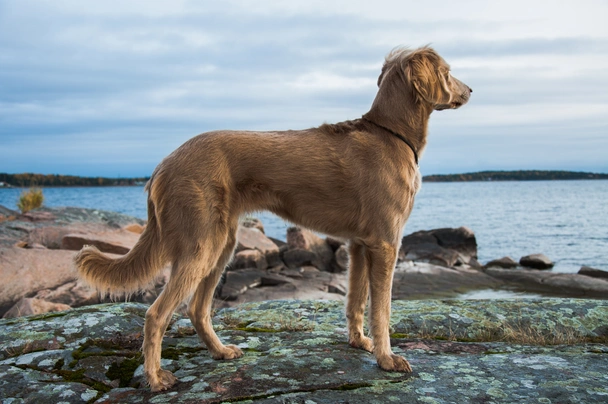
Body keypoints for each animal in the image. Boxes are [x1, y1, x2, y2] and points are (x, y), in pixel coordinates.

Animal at [76, 45, 472, 392]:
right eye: (449, 72)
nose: (470, 90)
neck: (391, 134)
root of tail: (162, 164)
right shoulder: (387, 244)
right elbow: (383, 311)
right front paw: (387, 359)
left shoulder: (360, 244)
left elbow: (356, 302)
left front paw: (359, 342)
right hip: (201, 246)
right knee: (156, 314)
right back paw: (156, 379)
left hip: (222, 244)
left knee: (197, 309)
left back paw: (220, 352)